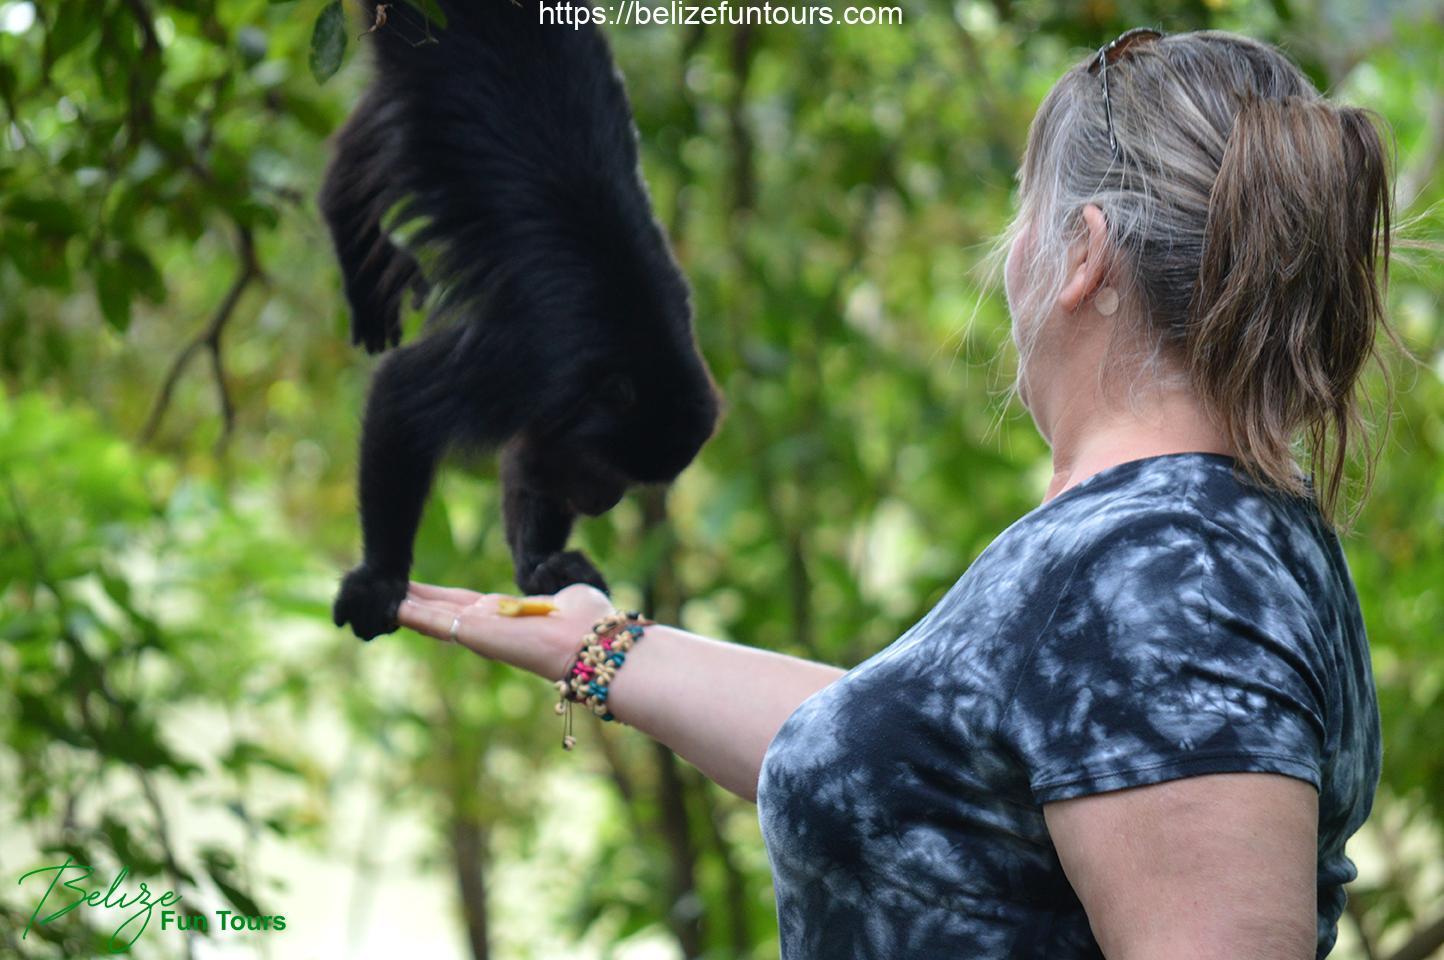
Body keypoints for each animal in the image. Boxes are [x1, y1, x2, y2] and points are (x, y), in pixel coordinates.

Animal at [321, 0, 724, 641]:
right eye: (606, 468)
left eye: (634, 484)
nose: (606, 503)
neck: (626, 356)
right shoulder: (527, 360)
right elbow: (403, 395)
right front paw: (380, 577)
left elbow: (528, 459)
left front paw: (542, 564)